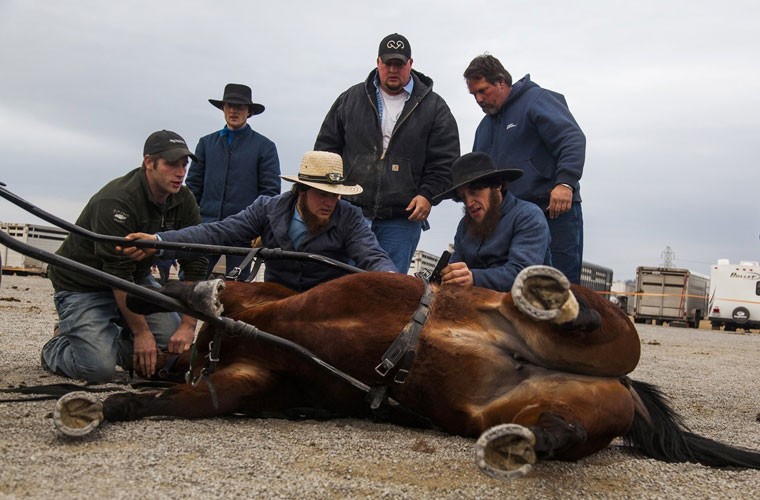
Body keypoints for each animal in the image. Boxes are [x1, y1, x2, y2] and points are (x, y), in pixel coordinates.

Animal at [55, 264, 760, 478]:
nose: (151, 361)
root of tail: (624, 388)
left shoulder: (278, 300)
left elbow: (224, 292)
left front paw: (191, 291)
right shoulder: (242, 383)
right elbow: (174, 401)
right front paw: (95, 408)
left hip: (611, 342)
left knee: (595, 321)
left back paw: (547, 295)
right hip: (554, 408)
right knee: (559, 431)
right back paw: (517, 444)